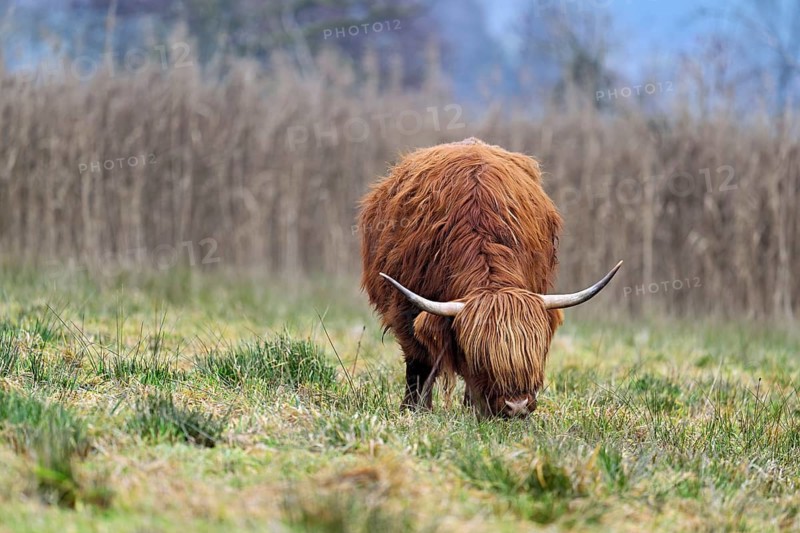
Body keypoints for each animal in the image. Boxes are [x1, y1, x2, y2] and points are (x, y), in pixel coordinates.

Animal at [358, 137, 621, 418]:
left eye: (535, 352)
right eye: (480, 359)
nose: (517, 406)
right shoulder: (405, 309)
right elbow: (419, 364)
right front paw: (414, 410)